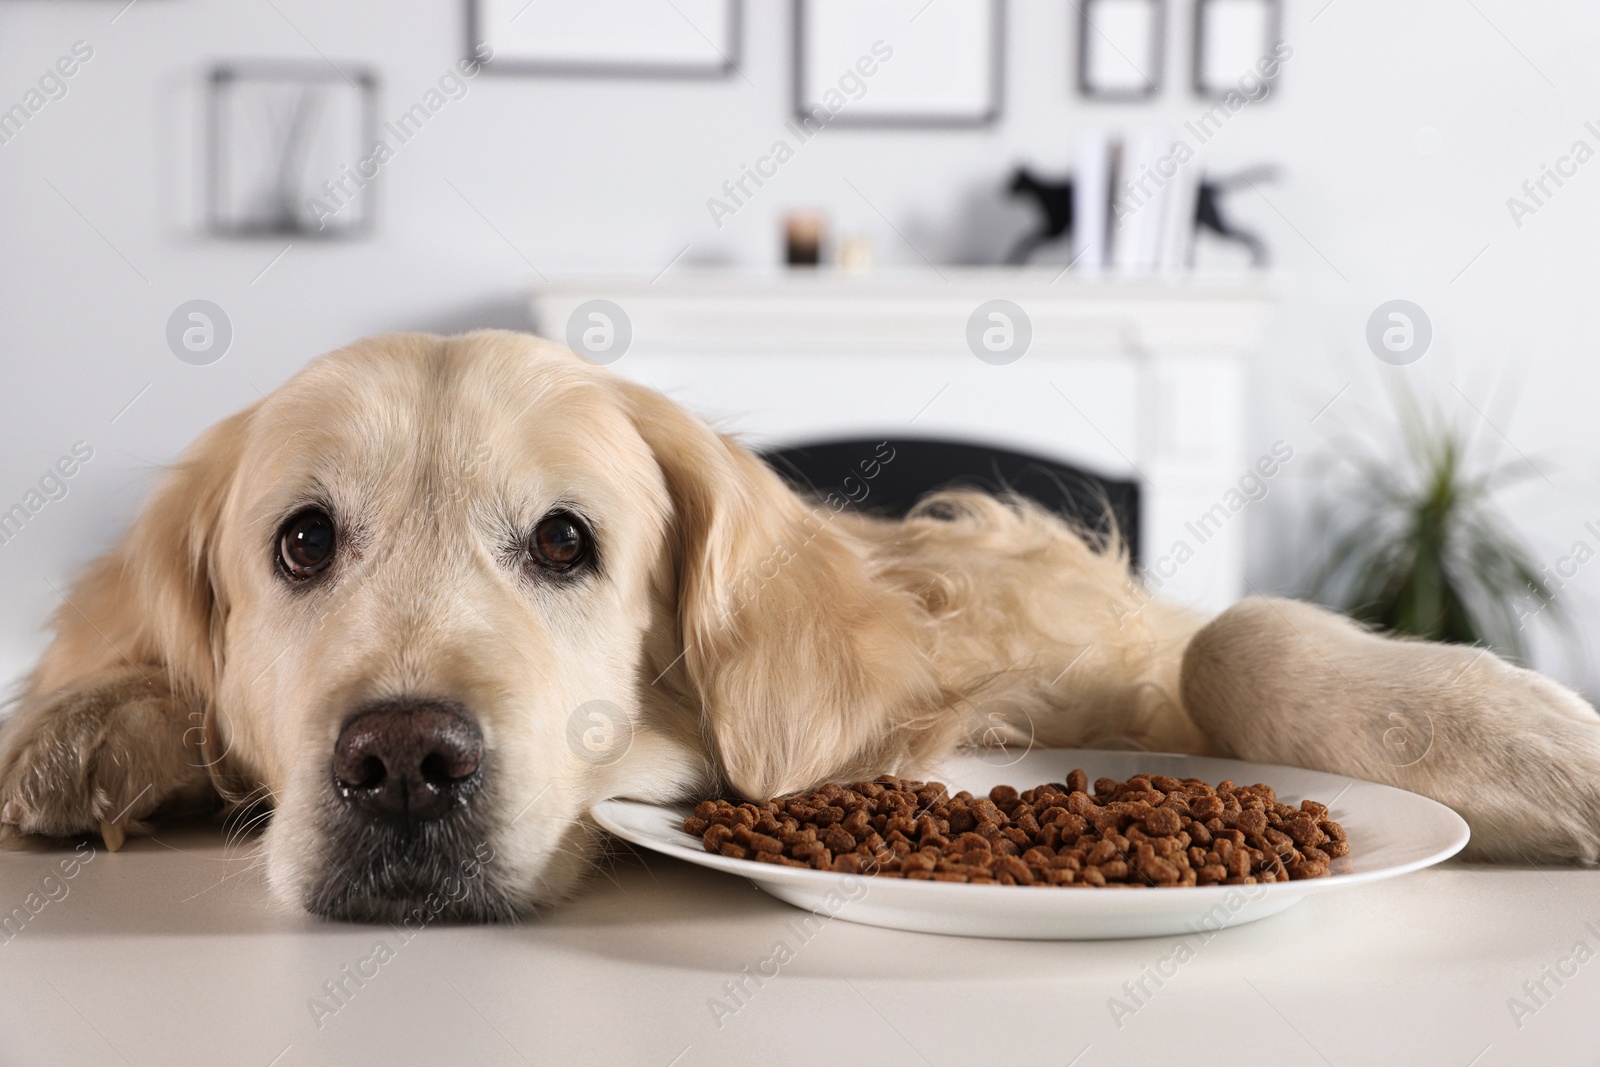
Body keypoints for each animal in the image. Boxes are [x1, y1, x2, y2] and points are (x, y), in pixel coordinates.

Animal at [3, 329, 1600, 921]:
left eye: (567, 541)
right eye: (301, 541)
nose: (402, 761)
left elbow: (1230, 637)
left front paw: (1535, 743)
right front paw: (89, 724)